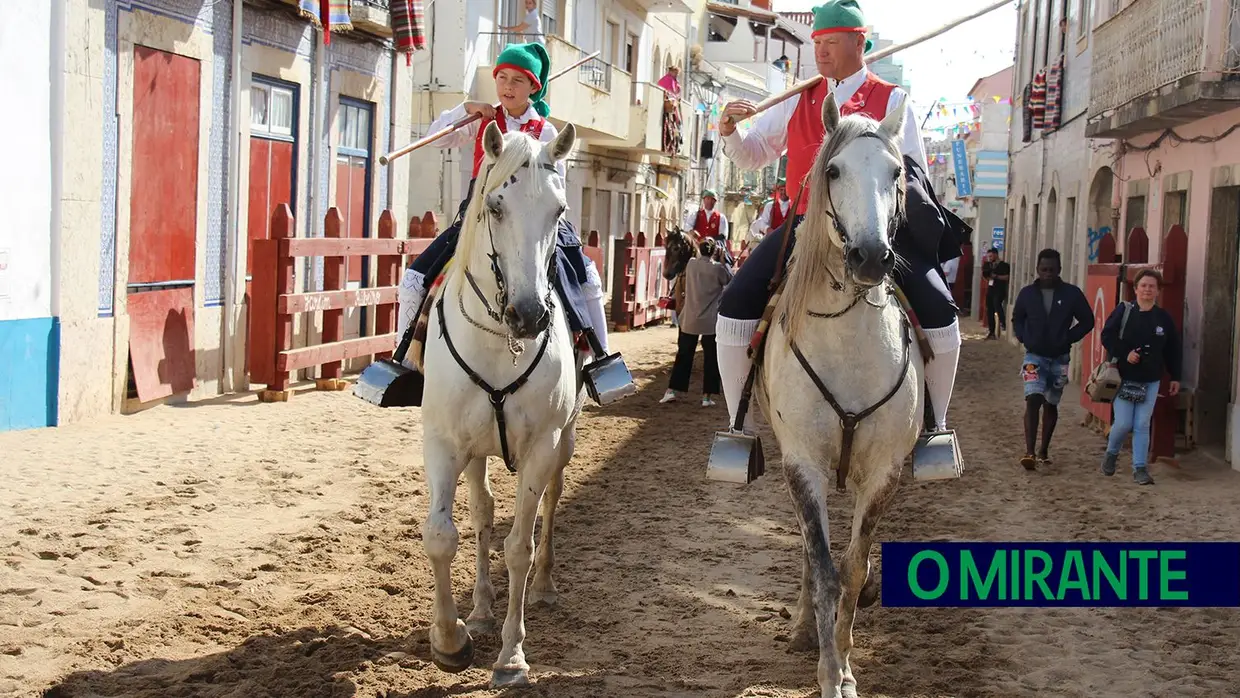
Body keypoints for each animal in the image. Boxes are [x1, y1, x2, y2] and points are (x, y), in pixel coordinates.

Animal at [416, 120, 580, 689]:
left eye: (558, 210)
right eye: (495, 206)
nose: (529, 316)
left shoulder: (542, 446)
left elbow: (518, 547)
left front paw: (512, 656)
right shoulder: (444, 444)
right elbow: (443, 535)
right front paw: (451, 640)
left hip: (564, 443)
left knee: (551, 504)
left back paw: (546, 585)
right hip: (476, 451)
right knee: (483, 511)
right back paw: (483, 610)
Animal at [753, 94, 922, 698]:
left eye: (897, 173)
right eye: (833, 171)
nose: (871, 258)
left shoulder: (885, 473)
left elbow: (853, 570)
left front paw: (847, 665)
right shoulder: (803, 463)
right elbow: (824, 568)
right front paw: (829, 670)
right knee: (809, 552)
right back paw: (805, 627)